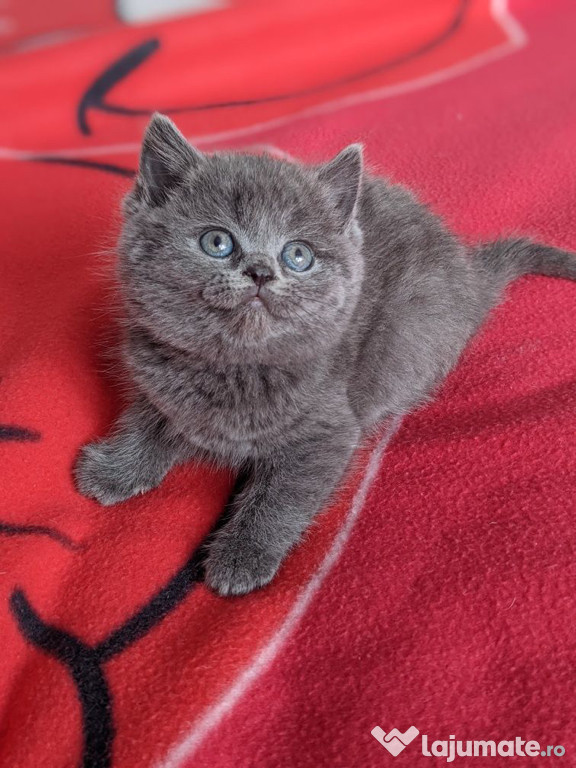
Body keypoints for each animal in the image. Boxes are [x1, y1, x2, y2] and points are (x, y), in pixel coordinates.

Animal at [75, 112, 576, 592]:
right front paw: (117, 468)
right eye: (217, 242)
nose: (260, 271)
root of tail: (470, 276)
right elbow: (148, 419)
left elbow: (283, 495)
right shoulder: (157, 381)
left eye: (298, 255)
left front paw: (243, 554)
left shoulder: (329, 430)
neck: (235, 367)